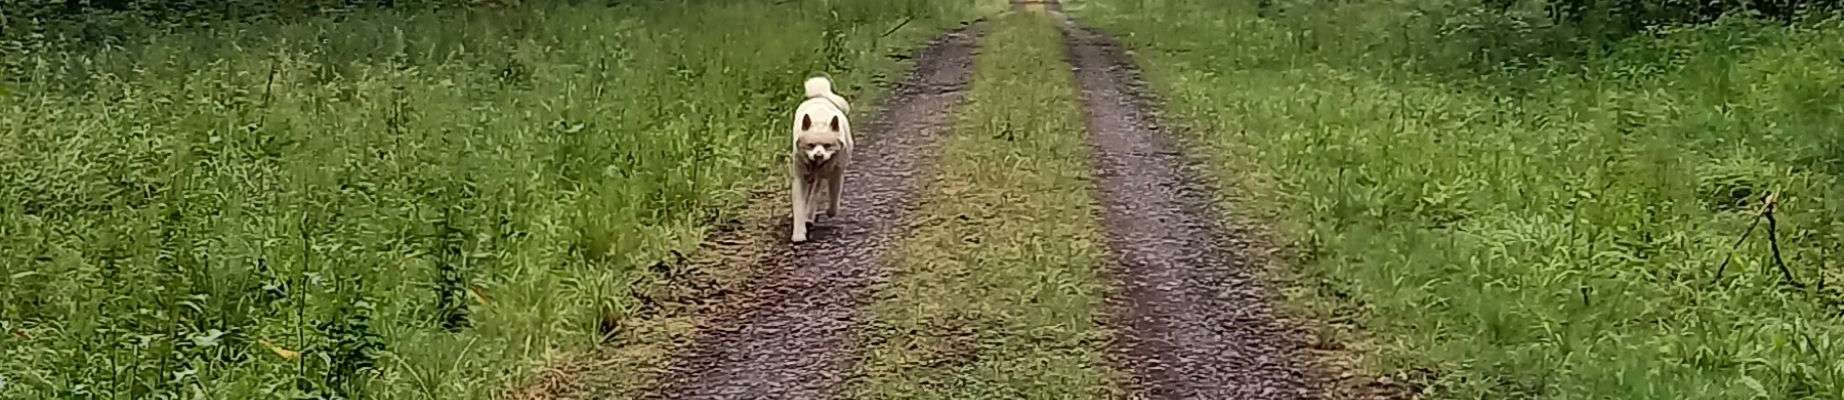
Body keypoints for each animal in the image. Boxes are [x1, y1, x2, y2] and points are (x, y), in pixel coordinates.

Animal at [790, 76, 853, 243]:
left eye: (827, 146)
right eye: (810, 145)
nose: (818, 155)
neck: (820, 123)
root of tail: (821, 96)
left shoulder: (836, 174)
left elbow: (834, 199)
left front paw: (830, 211)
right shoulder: (800, 177)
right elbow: (799, 207)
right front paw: (799, 233)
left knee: (816, 192)